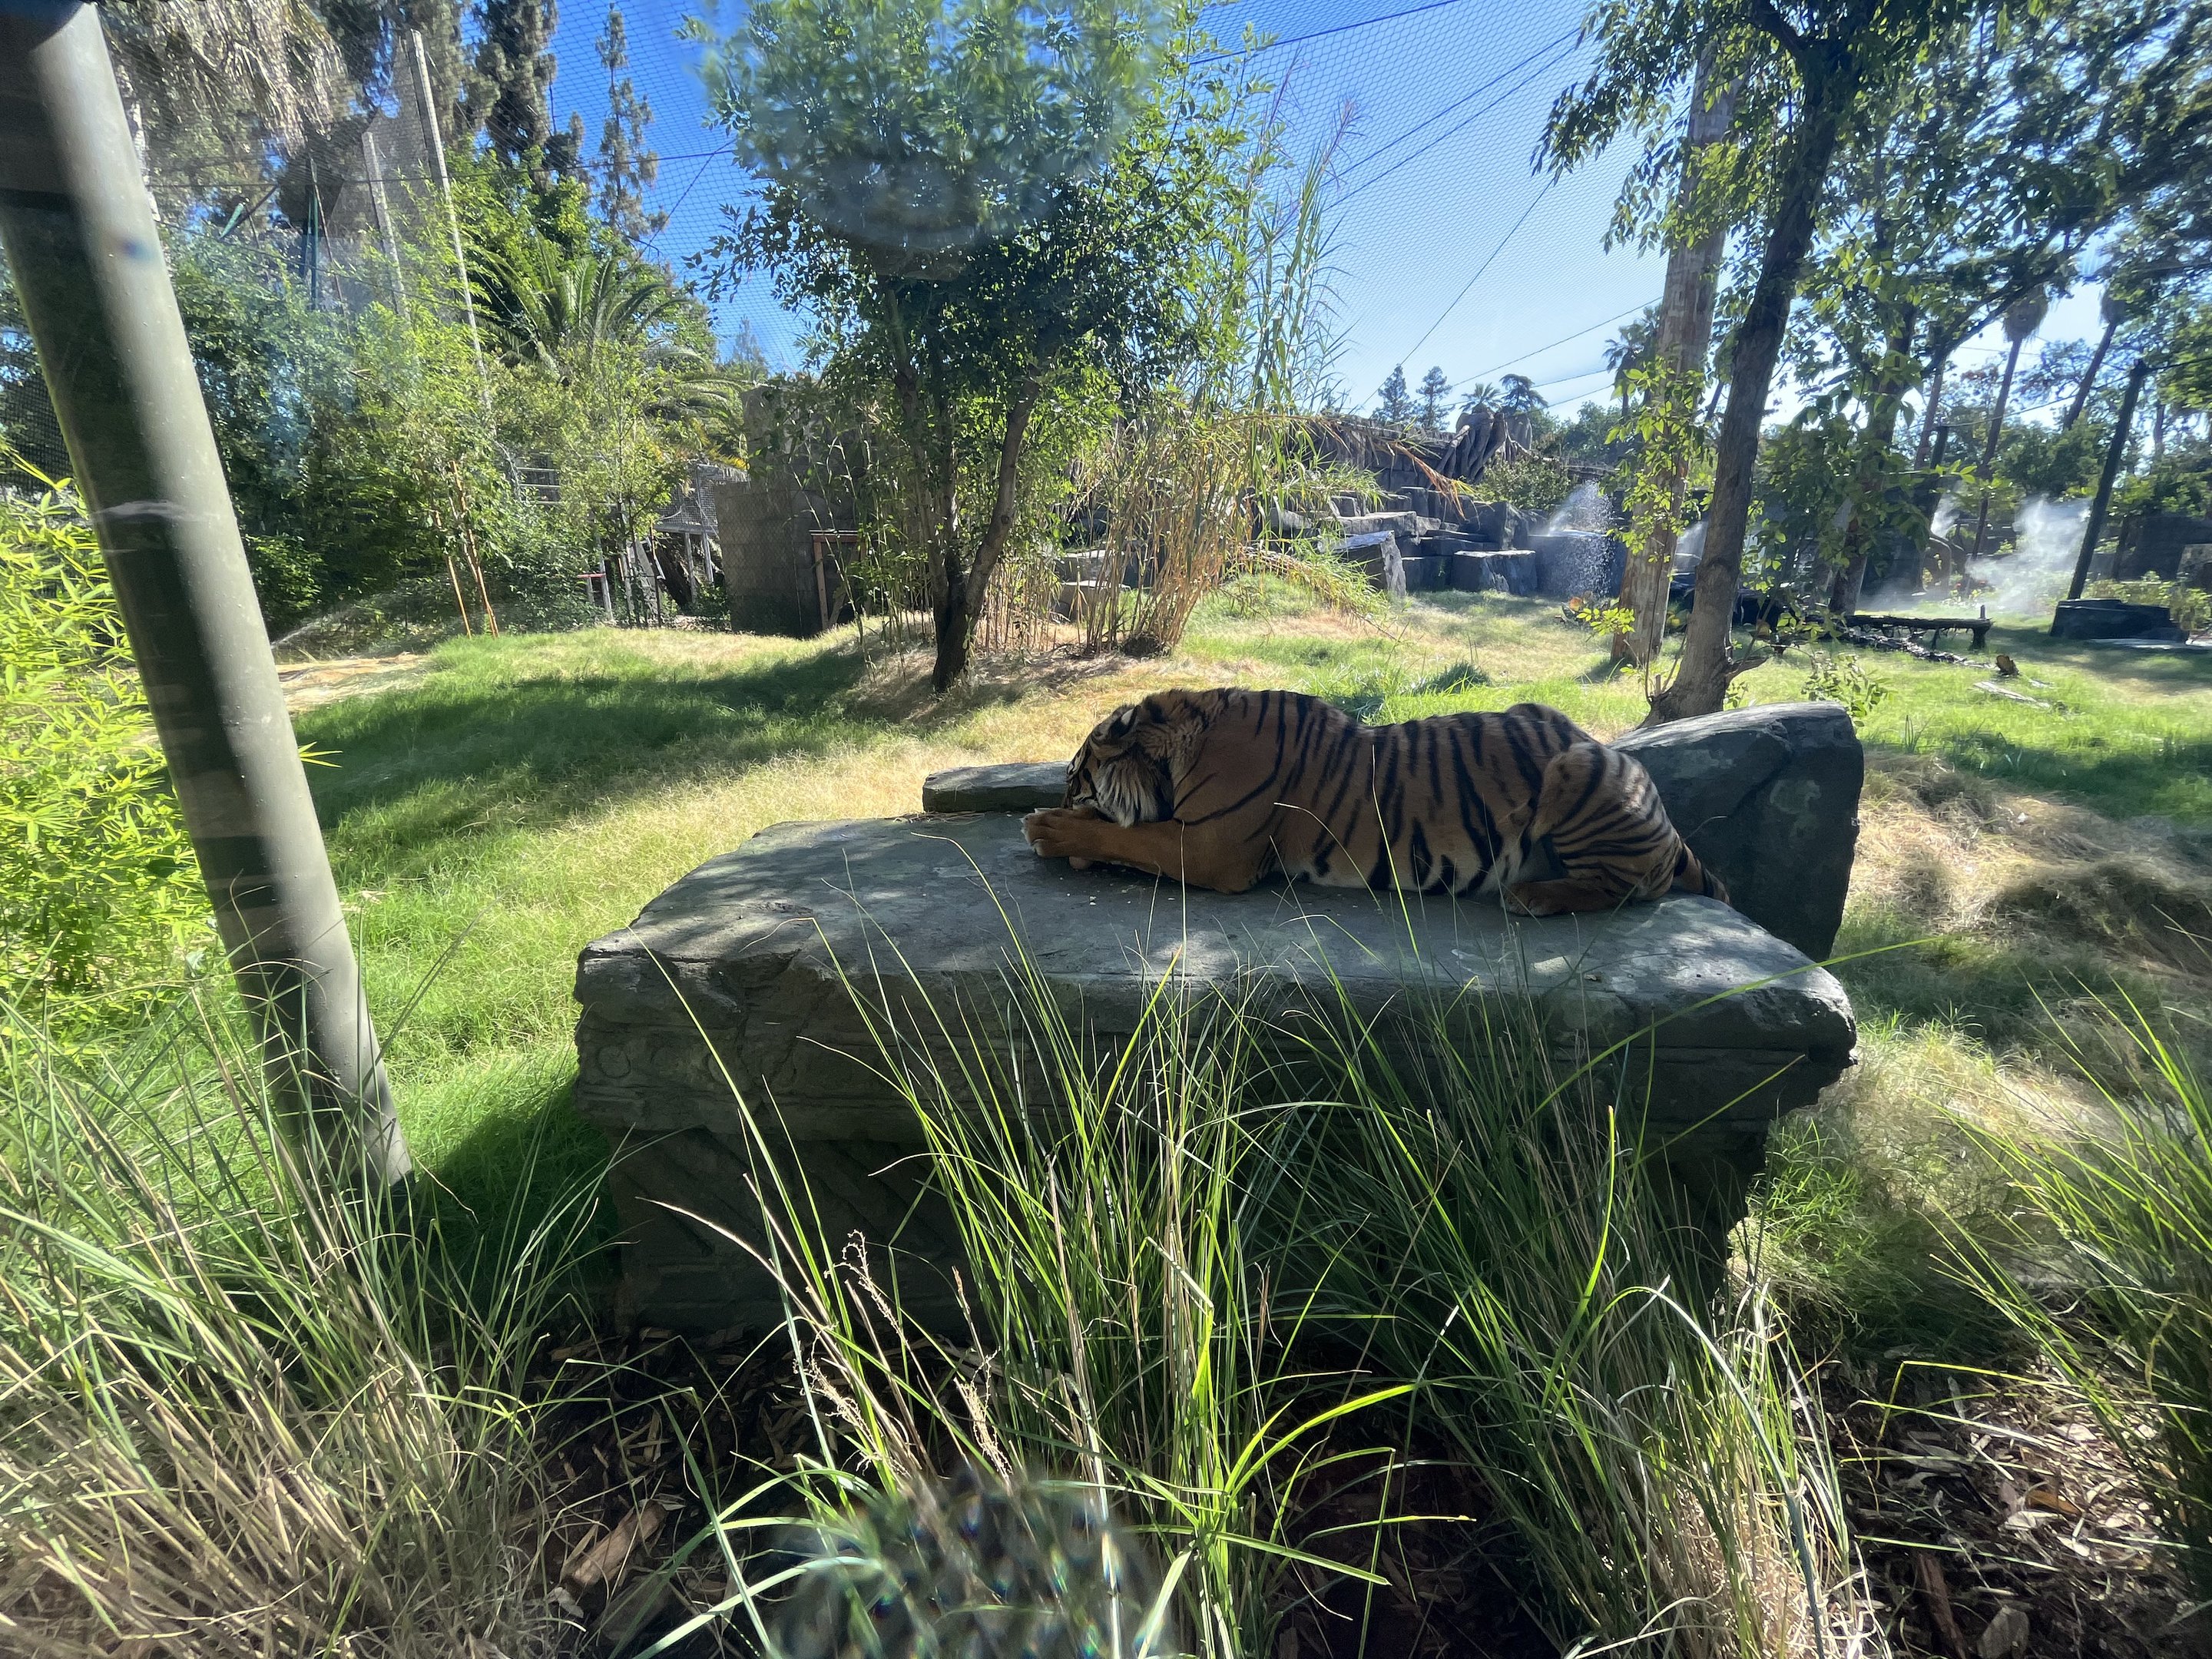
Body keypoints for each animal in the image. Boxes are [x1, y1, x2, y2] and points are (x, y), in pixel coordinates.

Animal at [1019, 688, 1728, 916]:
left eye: (1074, 779)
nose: (1060, 793)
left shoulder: (1214, 847)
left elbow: (1127, 837)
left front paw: (1047, 828)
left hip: (1579, 766)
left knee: (1631, 886)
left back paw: (1534, 896)